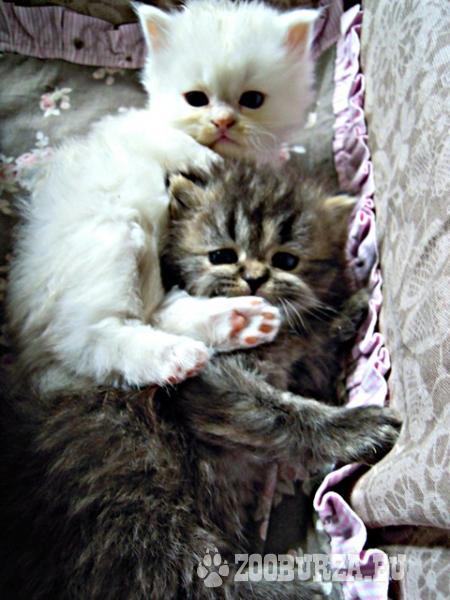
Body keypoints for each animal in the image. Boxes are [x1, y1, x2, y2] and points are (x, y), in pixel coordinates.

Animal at [0, 160, 401, 599]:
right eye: (221, 256)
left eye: (286, 261)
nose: (255, 278)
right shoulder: (211, 384)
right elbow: (282, 412)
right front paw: (356, 426)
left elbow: (309, 343)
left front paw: (344, 311)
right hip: (141, 497)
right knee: (197, 579)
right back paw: (298, 586)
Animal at [6, 0, 318, 393]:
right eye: (196, 99)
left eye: (252, 100)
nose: (223, 122)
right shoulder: (143, 131)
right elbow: (188, 148)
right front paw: (214, 160)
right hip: (110, 241)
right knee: (91, 337)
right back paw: (175, 355)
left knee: (154, 312)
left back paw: (238, 319)